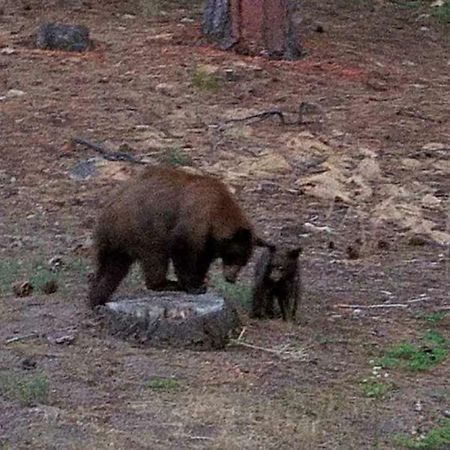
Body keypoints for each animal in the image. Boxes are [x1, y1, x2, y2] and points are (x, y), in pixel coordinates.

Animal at [89, 166, 268, 310]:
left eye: (243, 262)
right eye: (235, 257)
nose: (231, 278)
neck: (218, 213)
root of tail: (107, 214)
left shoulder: (207, 239)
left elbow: (203, 258)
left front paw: (200, 280)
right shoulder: (194, 219)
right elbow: (182, 248)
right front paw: (192, 286)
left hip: (114, 242)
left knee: (111, 269)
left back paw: (97, 299)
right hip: (144, 231)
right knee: (155, 258)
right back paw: (166, 283)